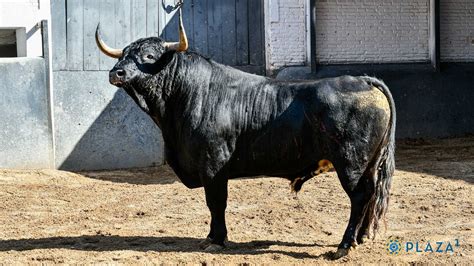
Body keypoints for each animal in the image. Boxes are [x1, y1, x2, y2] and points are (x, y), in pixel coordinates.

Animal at [97, 35, 396, 258]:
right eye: (124, 54)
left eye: (149, 56)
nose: (116, 72)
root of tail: (361, 79)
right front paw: (211, 236)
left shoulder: (213, 167)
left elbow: (216, 203)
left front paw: (216, 239)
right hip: (369, 165)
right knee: (371, 196)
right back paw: (360, 238)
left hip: (350, 164)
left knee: (359, 197)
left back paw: (344, 246)